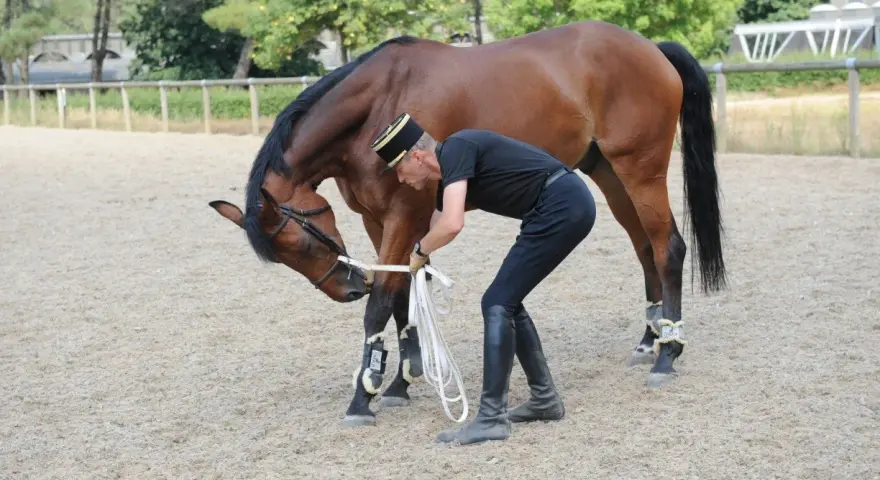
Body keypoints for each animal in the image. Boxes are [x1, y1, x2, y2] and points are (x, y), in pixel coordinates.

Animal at [209, 20, 727, 428]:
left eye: (304, 242)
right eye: (287, 257)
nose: (347, 287)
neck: (379, 105)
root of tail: (651, 48)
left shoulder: (407, 214)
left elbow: (381, 304)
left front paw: (365, 394)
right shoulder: (379, 220)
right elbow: (402, 292)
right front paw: (401, 381)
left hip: (641, 170)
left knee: (667, 247)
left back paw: (668, 354)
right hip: (608, 173)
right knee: (644, 248)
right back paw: (650, 338)